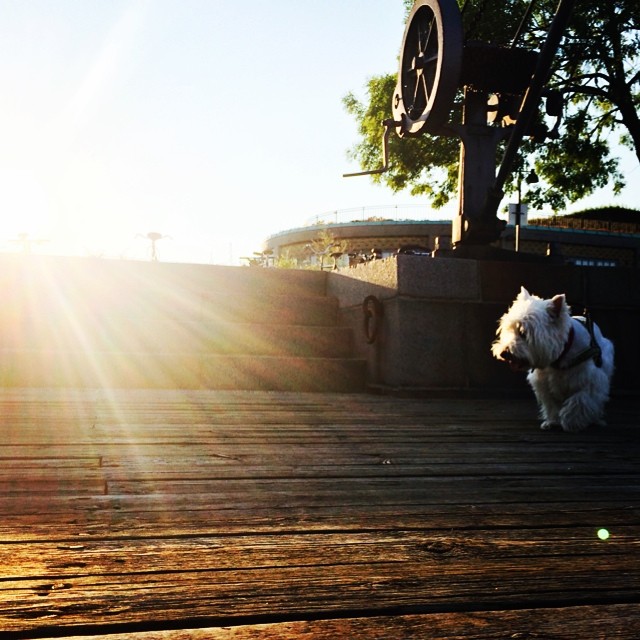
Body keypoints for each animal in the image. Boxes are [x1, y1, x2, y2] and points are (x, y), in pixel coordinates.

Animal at [490, 288, 616, 432]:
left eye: (523, 333)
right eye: (508, 329)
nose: (504, 353)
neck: (560, 357)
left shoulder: (590, 381)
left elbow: (579, 401)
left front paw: (571, 423)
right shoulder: (544, 383)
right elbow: (551, 403)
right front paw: (553, 421)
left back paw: (597, 420)